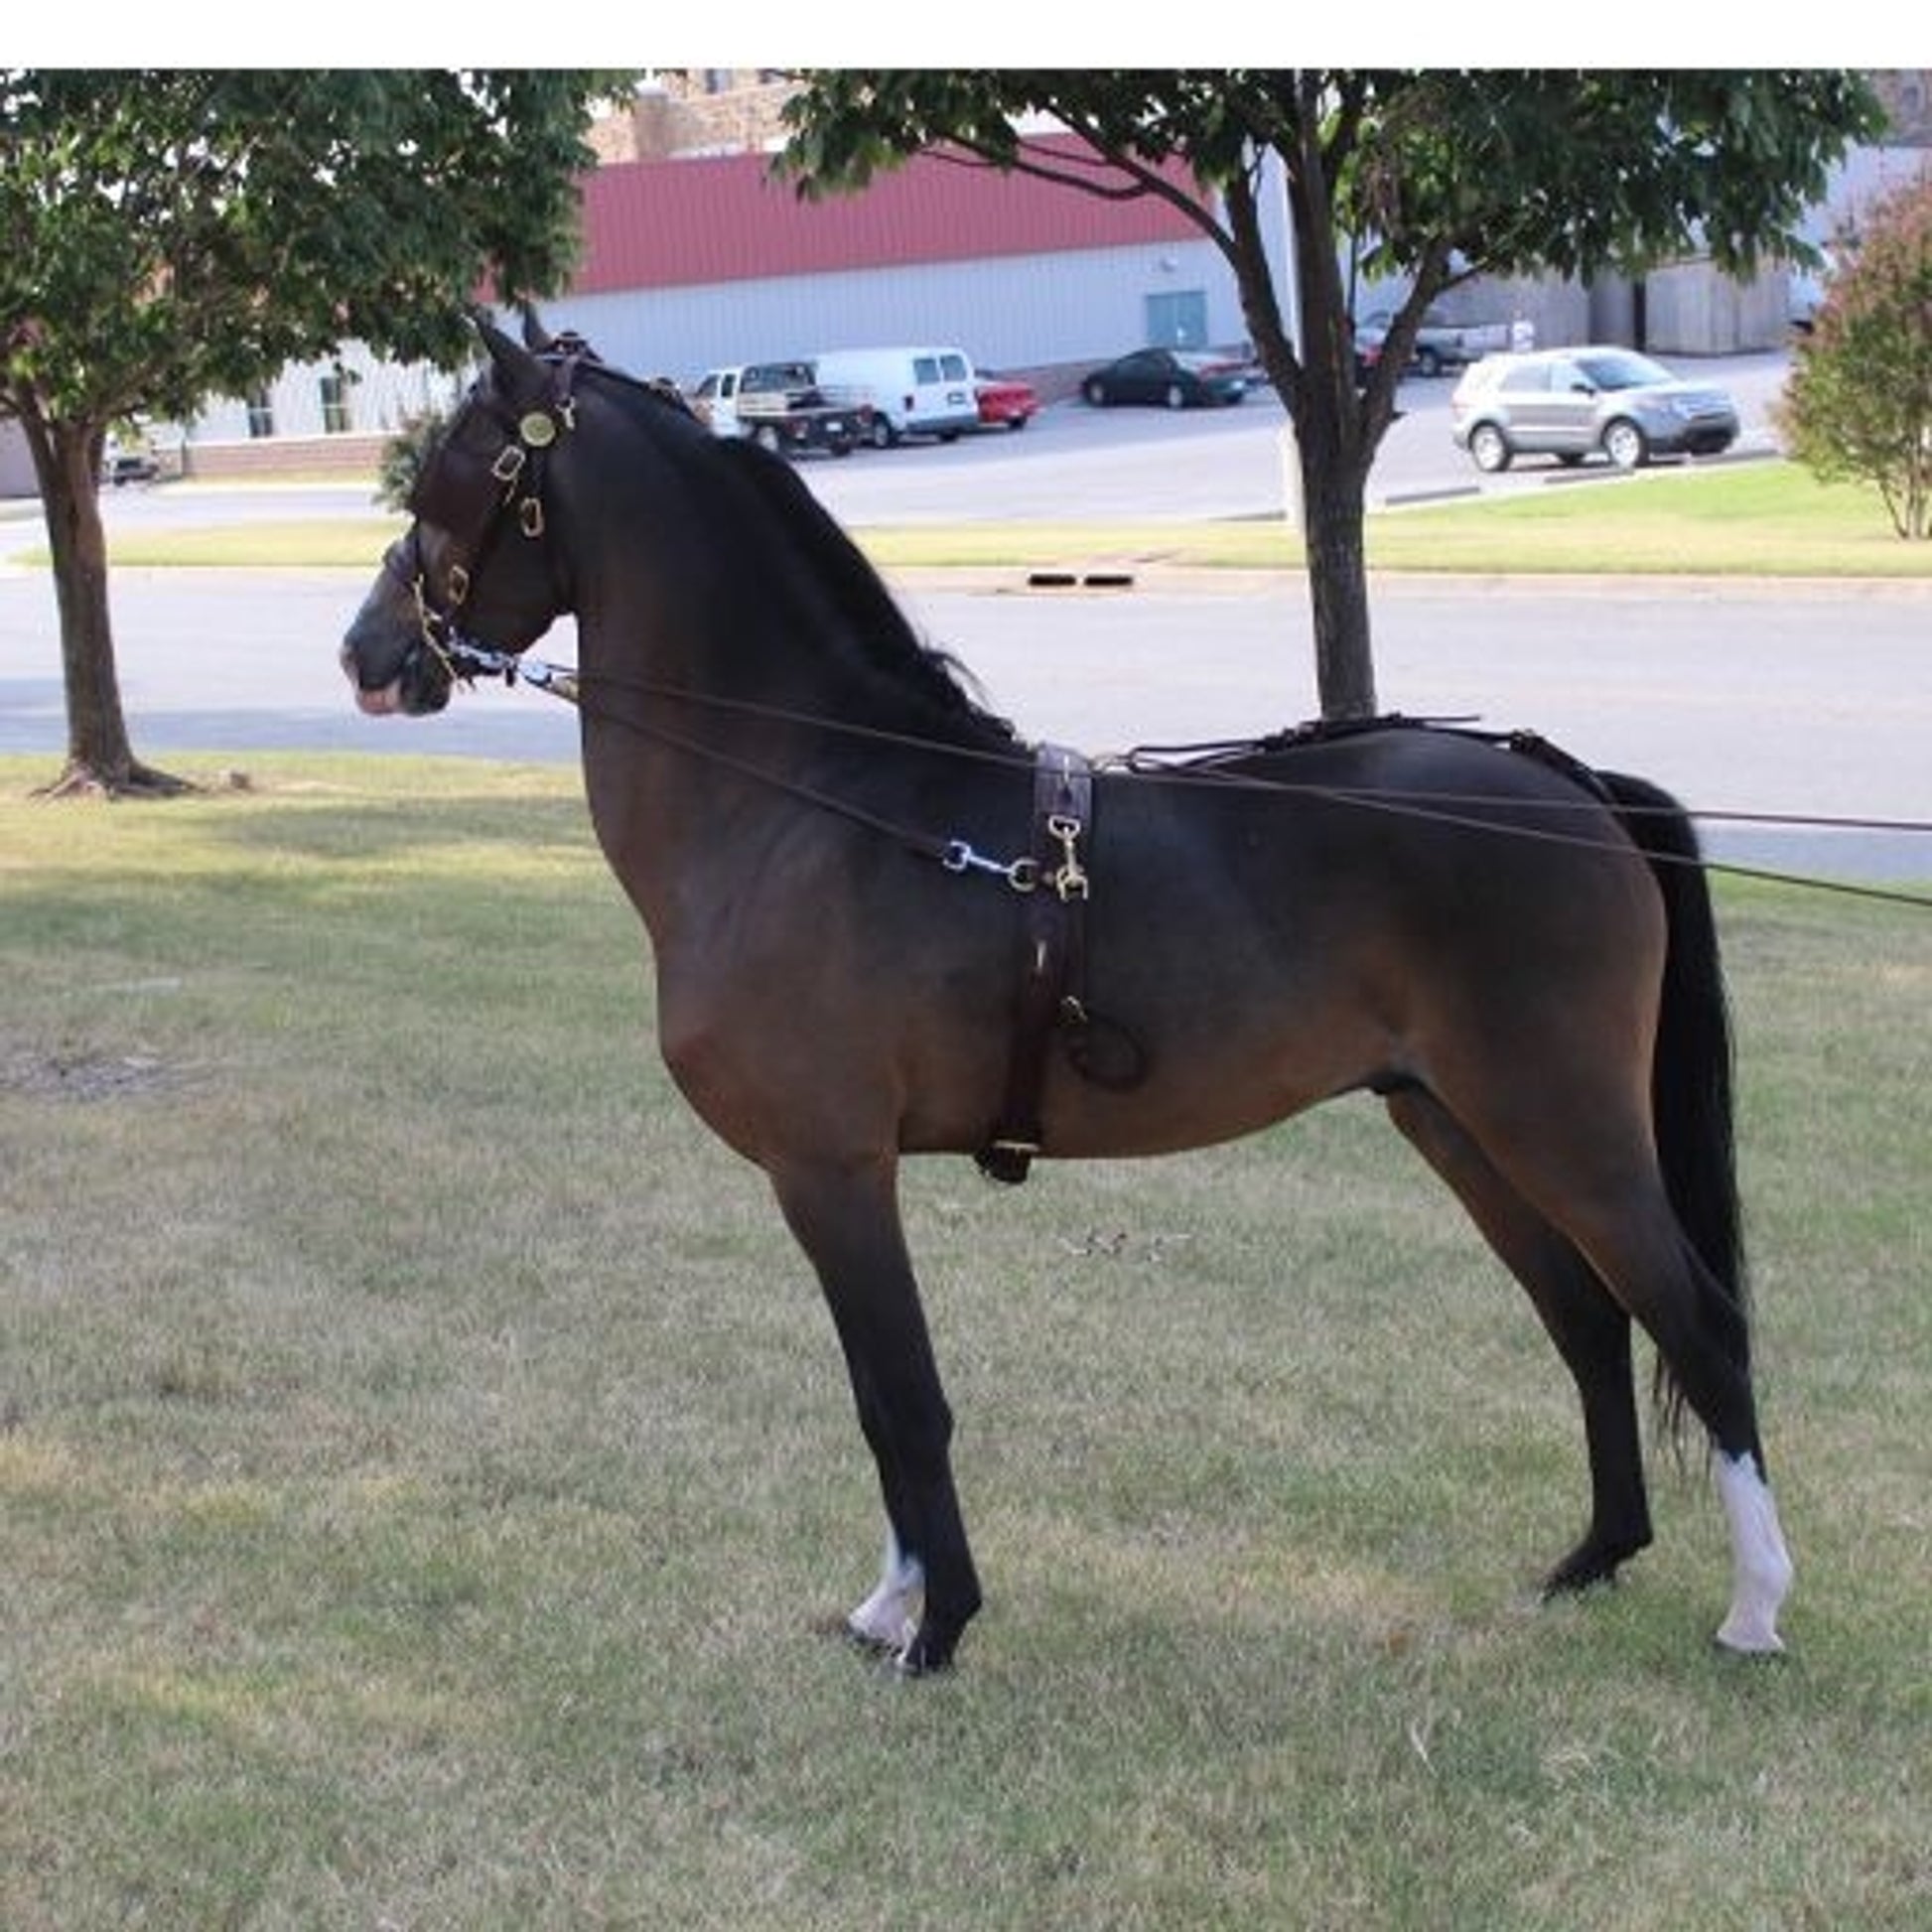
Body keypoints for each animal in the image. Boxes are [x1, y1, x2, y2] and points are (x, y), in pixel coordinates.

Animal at [341, 318, 1793, 1676]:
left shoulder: (830, 1168)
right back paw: (1592, 1556)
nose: (367, 650)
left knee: (1697, 1323)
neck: (812, 798)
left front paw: (936, 1626)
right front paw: (888, 1604)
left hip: (1561, 1121)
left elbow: (903, 1399)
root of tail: (1564, 781)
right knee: (1588, 1319)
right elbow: (874, 1397)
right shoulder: (830, 1177)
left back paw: (1753, 1605)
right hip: (1453, 1121)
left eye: (453, 467)